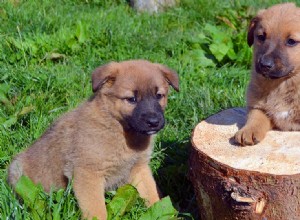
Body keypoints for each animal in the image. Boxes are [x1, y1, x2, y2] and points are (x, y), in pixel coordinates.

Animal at [8, 59, 179, 219]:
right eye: (131, 99)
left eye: (159, 96)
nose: (154, 122)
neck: (119, 129)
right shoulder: (88, 174)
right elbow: (97, 209)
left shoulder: (139, 168)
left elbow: (152, 194)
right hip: (18, 173)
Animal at [234, 2, 300, 146]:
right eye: (261, 37)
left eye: (291, 41)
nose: (264, 65)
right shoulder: (259, 107)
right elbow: (255, 117)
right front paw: (248, 131)